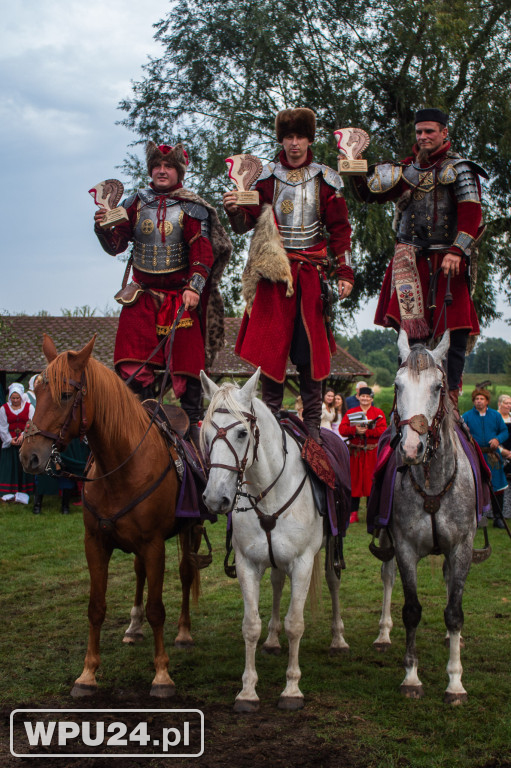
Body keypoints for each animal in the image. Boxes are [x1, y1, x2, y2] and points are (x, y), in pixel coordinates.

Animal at [20, 332, 204, 700]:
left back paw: (183, 633)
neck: (120, 466)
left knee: (185, 573)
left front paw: (162, 676)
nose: (28, 455)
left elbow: (157, 609)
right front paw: (87, 674)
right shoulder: (96, 543)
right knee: (139, 574)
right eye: (37, 391)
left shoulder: (154, 545)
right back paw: (133, 628)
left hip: (188, 531)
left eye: (65, 394)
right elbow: (96, 607)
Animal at [200, 368, 348, 712]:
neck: (266, 490)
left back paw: (338, 639)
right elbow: (250, 625)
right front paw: (247, 691)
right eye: (207, 433)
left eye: (242, 433)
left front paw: (292, 689)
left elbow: (296, 624)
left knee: (333, 582)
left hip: (331, 548)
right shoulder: (247, 564)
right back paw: (271, 640)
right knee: (278, 584)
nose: (214, 499)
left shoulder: (303, 563)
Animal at [372, 330, 484, 704]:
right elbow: (411, 610)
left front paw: (455, 682)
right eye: (397, 385)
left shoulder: (462, 547)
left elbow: (454, 612)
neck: (433, 481)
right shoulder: (405, 547)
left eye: (438, 387)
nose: (411, 449)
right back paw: (383, 634)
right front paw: (411, 678)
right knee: (387, 575)